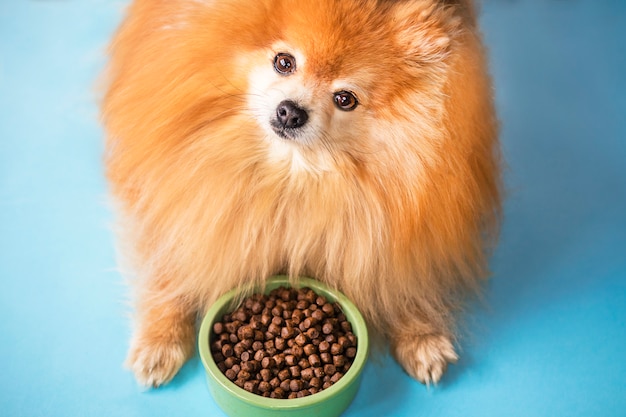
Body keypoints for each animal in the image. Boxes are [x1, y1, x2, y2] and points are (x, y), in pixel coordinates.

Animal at [103, 0, 502, 386]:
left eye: (345, 99)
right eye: (284, 62)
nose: (291, 111)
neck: (292, 174)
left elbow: (401, 274)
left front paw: (421, 336)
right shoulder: (175, 190)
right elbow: (168, 267)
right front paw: (159, 341)